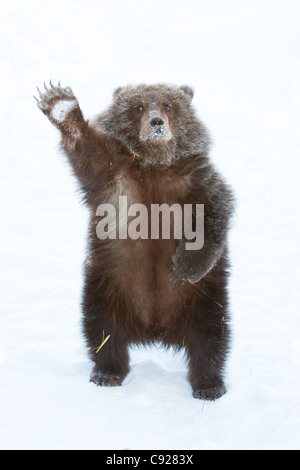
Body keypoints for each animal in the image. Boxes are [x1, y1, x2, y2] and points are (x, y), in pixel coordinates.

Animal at [34, 80, 233, 400]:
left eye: (168, 104)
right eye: (138, 106)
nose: (156, 122)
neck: (155, 166)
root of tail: (155, 330)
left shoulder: (196, 182)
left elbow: (215, 213)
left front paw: (186, 265)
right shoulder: (117, 178)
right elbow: (89, 153)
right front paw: (61, 105)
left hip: (202, 296)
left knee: (211, 335)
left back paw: (209, 383)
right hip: (108, 284)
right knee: (102, 328)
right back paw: (108, 372)